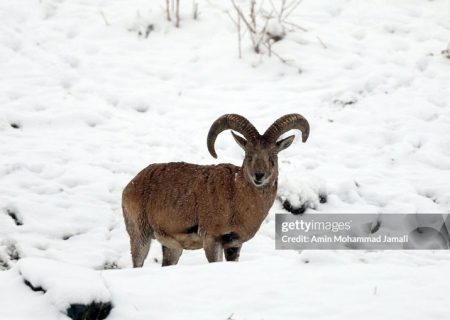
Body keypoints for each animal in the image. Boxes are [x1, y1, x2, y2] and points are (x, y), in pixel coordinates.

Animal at [122, 114, 310, 266]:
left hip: (172, 248)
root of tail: (130, 186)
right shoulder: (212, 240)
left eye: (273, 155)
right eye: (248, 154)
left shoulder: (234, 245)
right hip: (140, 237)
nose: (259, 176)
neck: (237, 198)